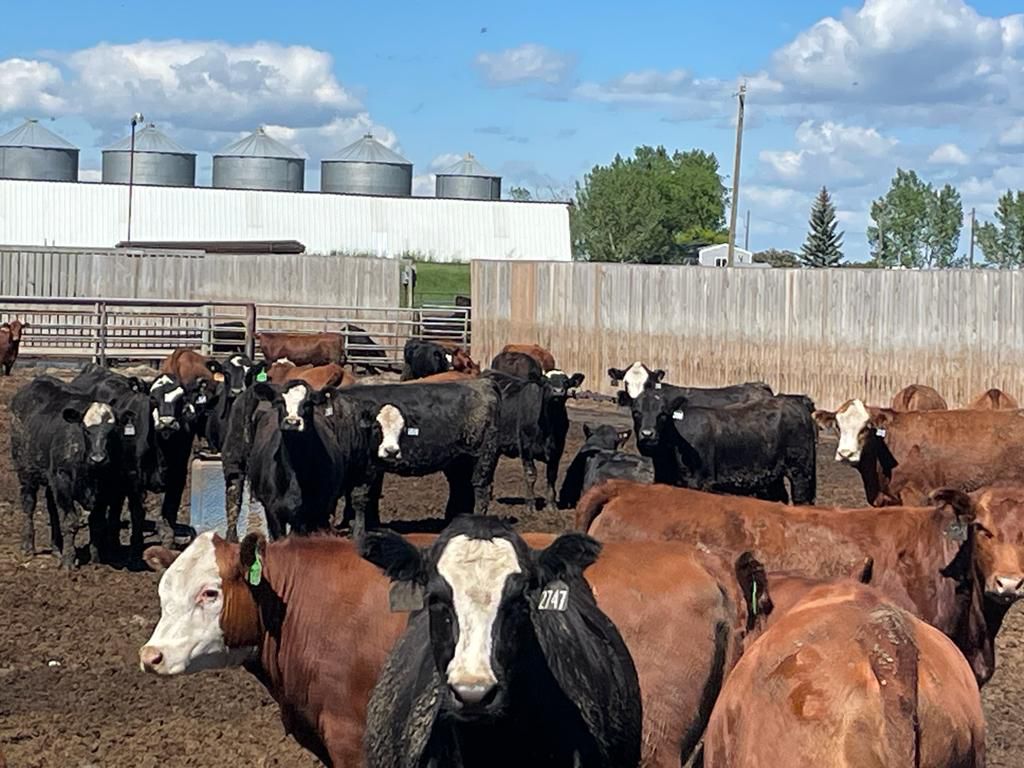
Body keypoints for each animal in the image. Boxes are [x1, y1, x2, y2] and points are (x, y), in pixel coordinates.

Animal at [10, 377, 128, 569]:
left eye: (112, 431)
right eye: (86, 430)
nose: (98, 458)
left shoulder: (104, 488)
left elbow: (97, 523)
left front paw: (96, 560)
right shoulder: (62, 480)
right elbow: (70, 521)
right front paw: (69, 561)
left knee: (52, 509)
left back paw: (56, 548)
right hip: (25, 471)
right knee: (28, 504)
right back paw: (28, 546)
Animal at [340, 379, 503, 531]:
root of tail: (483, 383)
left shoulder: (367, 468)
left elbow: (360, 495)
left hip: (483, 457)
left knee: (481, 489)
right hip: (459, 461)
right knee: (461, 486)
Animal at [487, 368, 586, 510]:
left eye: (566, 382)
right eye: (546, 382)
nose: (558, 391)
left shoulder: (557, 450)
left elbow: (551, 476)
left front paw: (551, 505)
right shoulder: (525, 447)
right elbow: (531, 475)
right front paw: (530, 504)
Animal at [628, 388, 817, 504]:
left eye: (663, 414)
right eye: (636, 412)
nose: (647, 434)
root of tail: (796, 400)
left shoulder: (699, 482)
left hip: (801, 471)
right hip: (771, 474)